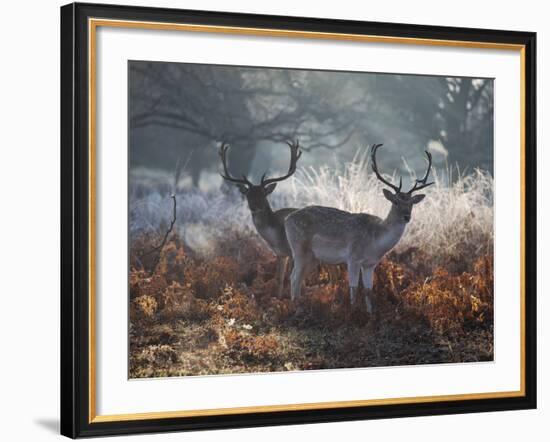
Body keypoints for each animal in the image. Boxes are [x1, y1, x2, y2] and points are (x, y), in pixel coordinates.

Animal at [220, 141, 304, 296]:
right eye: (248, 195)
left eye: (263, 194)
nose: (254, 207)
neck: (277, 236)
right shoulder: (280, 253)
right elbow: (279, 279)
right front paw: (278, 297)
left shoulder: (293, 252)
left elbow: (293, 279)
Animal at [284, 143, 436, 312]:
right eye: (395, 201)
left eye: (411, 204)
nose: (406, 217)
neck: (375, 243)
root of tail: (287, 219)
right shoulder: (353, 258)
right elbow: (354, 288)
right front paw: (352, 312)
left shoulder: (370, 264)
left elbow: (369, 290)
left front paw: (370, 313)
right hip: (299, 249)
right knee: (294, 278)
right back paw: (297, 309)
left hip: (312, 257)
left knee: (297, 278)